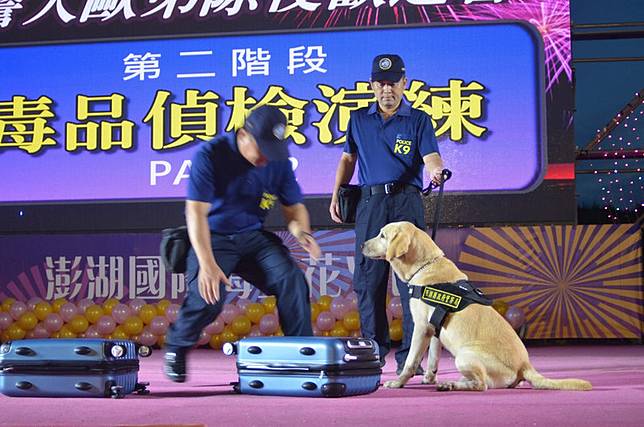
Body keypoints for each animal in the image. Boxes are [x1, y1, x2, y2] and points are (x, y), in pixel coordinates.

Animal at [360, 222, 592, 392]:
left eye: (382, 235)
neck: (426, 265)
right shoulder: (434, 330)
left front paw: (398, 382)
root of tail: (525, 365)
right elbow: (433, 358)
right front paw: (429, 377)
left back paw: (452, 384)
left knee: (482, 385)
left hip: (465, 354)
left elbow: (410, 361)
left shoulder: (421, 327)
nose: (361, 244)